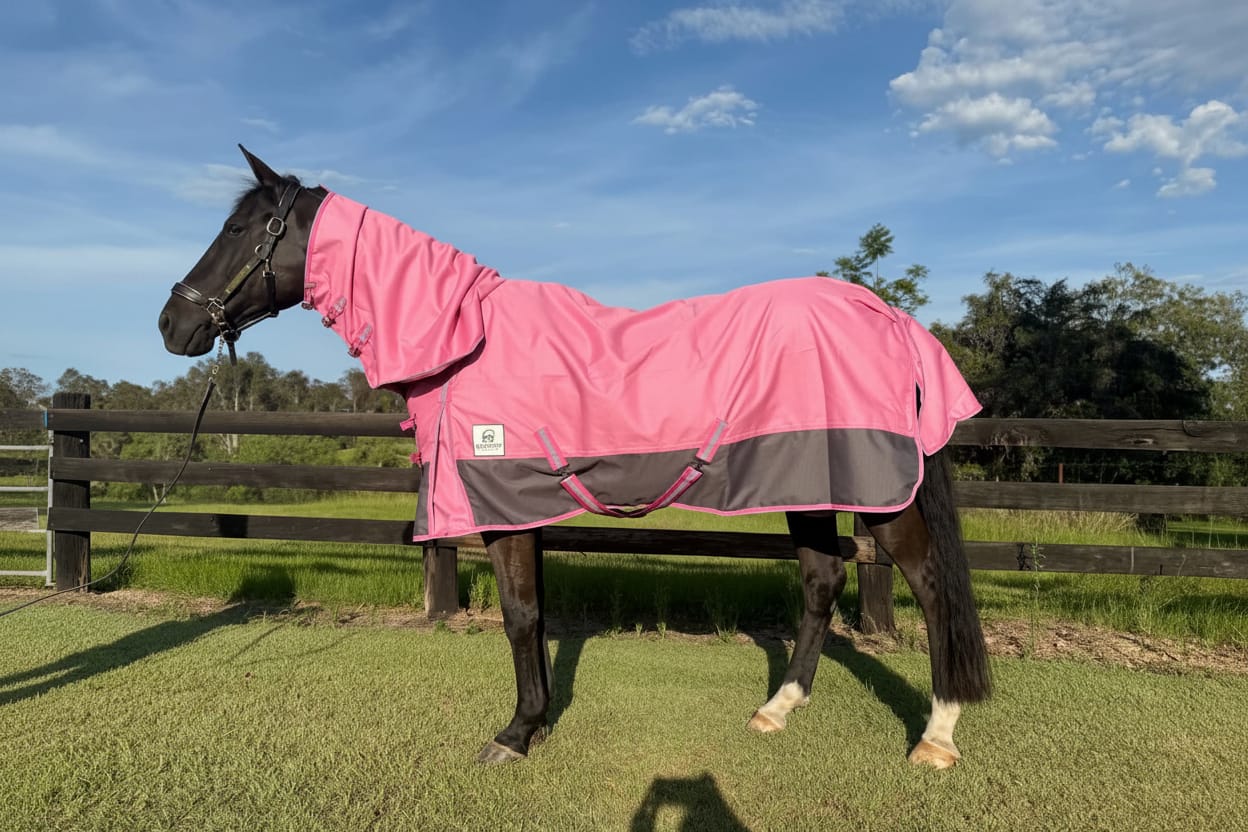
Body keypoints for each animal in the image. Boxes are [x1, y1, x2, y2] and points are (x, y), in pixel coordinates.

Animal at [158, 146, 991, 769]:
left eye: (239, 227)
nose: (171, 323)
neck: (465, 339)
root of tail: (888, 315)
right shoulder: (524, 507)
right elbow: (535, 616)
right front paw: (538, 718)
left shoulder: (501, 507)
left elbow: (521, 616)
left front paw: (515, 734)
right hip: (806, 486)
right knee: (821, 582)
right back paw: (776, 710)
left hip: (880, 495)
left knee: (930, 588)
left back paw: (937, 737)